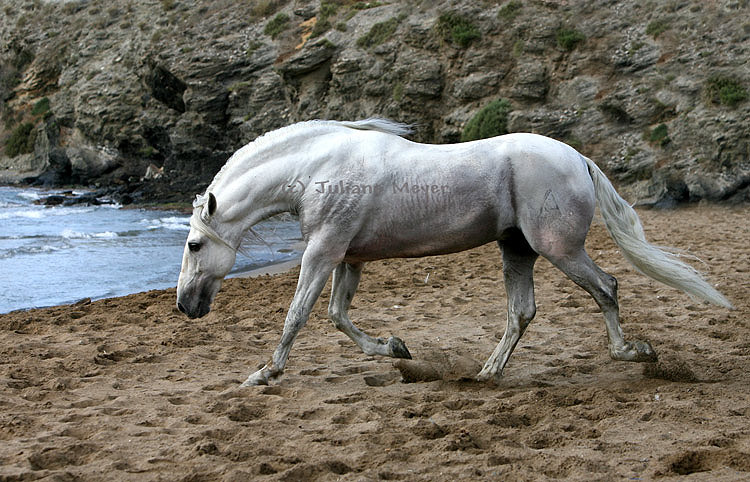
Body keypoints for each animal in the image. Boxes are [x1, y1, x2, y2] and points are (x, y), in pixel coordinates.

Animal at [178, 118, 736, 386]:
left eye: (193, 244)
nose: (185, 305)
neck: (319, 167)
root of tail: (578, 157)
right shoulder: (347, 257)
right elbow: (337, 315)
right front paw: (395, 349)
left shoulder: (322, 253)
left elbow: (297, 316)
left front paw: (263, 374)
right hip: (517, 250)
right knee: (522, 311)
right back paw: (487, 373)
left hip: (558, 248)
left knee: (606, 287)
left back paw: (633, 352)